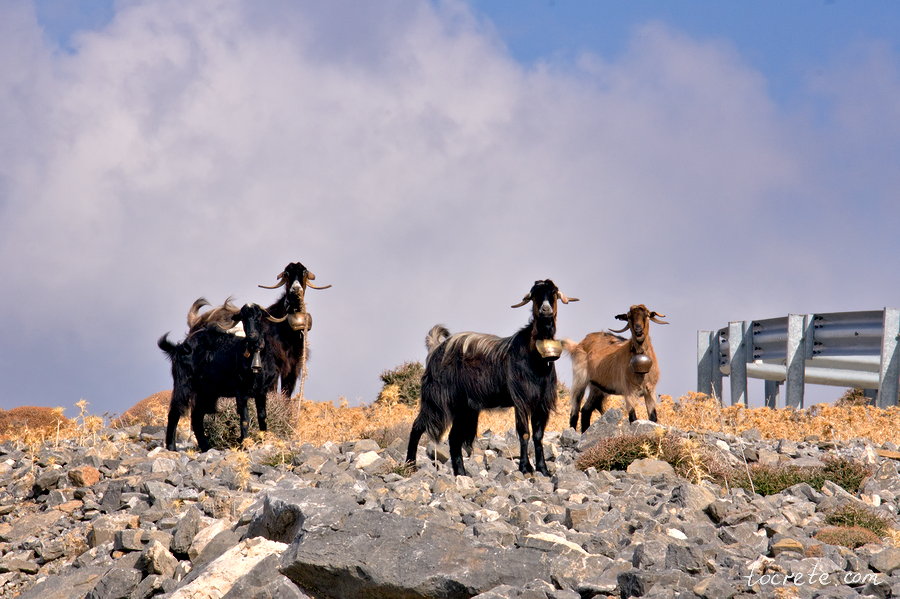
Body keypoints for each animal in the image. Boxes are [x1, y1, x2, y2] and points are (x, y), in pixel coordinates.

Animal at [158, 303, 286, 452]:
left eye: (259, 316)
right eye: (243, 318)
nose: (252, 336)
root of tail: (180, 347)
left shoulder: (262, 391)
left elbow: (262, 416)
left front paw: (264, 441)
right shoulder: (241, 391)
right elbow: (245, 419)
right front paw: (244, 444)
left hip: (205, 392)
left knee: (196, 417)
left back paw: (206, 447)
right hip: (183, 383)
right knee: (175, 411)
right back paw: (171, 447)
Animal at [258, 262, 331, 398]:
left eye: (304, 272)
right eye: (286, 273)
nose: (296, 290)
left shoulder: (294, 367)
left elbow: (286, 393)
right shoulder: (273, 364)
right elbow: (272, 390)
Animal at [405, 279, 578, 476]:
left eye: (554, 292)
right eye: (535, 295)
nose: (545, 309)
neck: (534, 357)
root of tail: (436, 349)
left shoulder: (541, 402)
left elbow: (538, 435)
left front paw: (543, 469)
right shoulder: (521, 400)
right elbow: (524, 433)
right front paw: (525, 468)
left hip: (464, 408)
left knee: (454, 438)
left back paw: (461, 473)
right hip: (437, 400)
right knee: (418, 426)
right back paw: (410, 465)